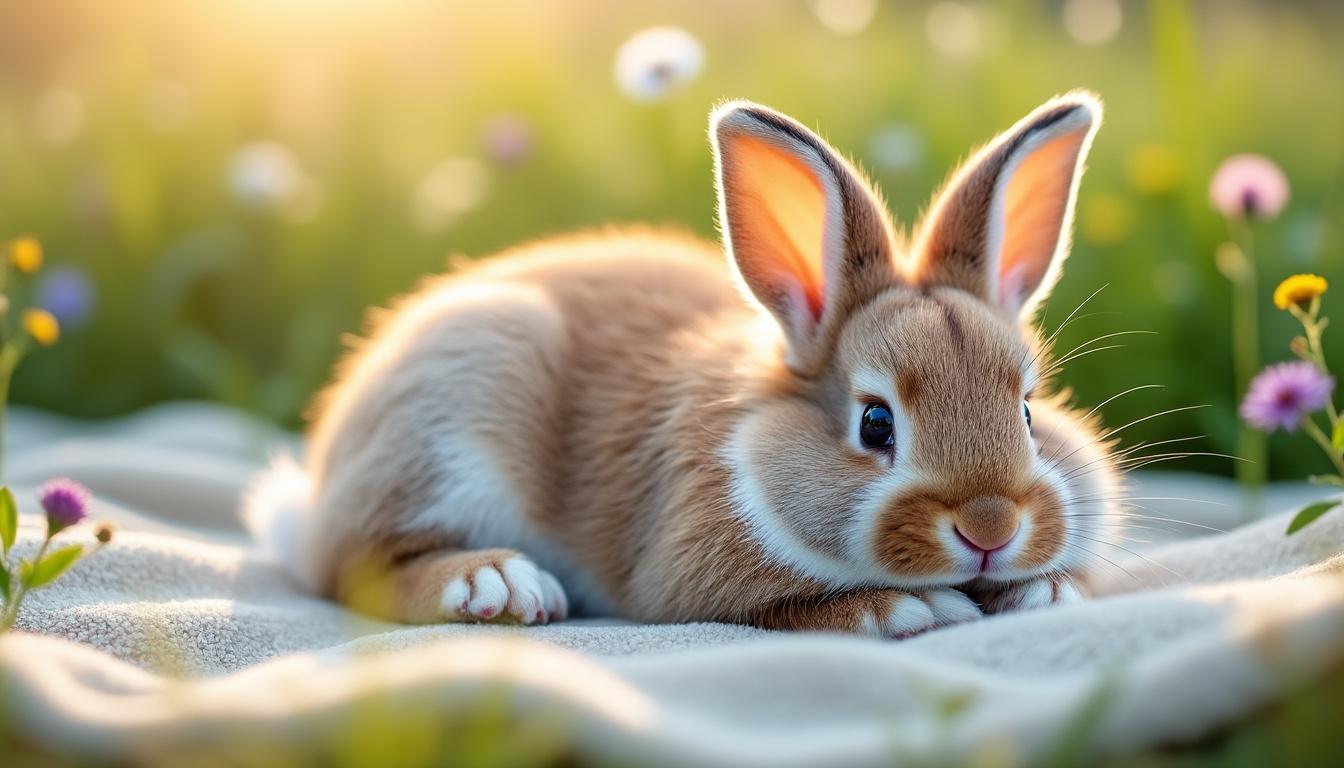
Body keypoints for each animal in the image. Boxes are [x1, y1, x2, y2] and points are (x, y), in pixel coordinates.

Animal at [244, 91, 1122, 637]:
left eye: (1029, 412)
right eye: (876, 424)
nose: (991, 527)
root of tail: (316, 492)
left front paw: (1045, 590)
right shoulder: (689, 570)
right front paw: (907, 611)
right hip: (449, 411)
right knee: (358, 569)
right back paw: (498, 583)